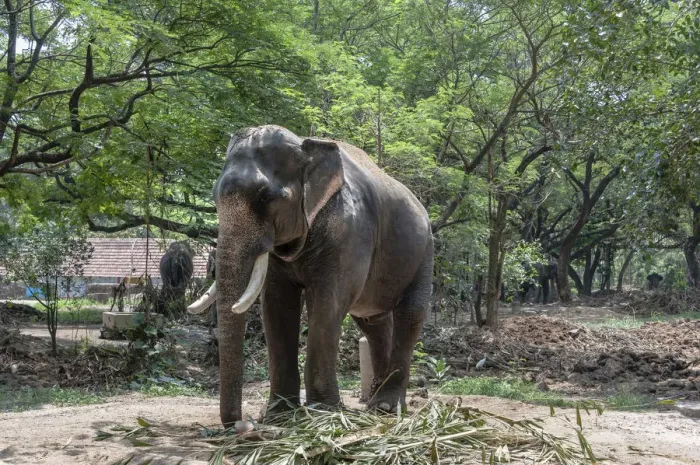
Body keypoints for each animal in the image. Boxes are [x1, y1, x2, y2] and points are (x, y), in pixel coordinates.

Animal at [188, 125, 434, 427]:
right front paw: (279, 413)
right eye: (214, 197)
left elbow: (328, 302)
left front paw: (322, 412)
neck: (308, 147)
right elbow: (277, 305)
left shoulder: (350, 233)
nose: (242, 424)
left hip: (424, 252)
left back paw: (387, 406)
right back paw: (374, 404)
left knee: (410, 314)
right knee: (372, 322)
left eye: (267, 198)